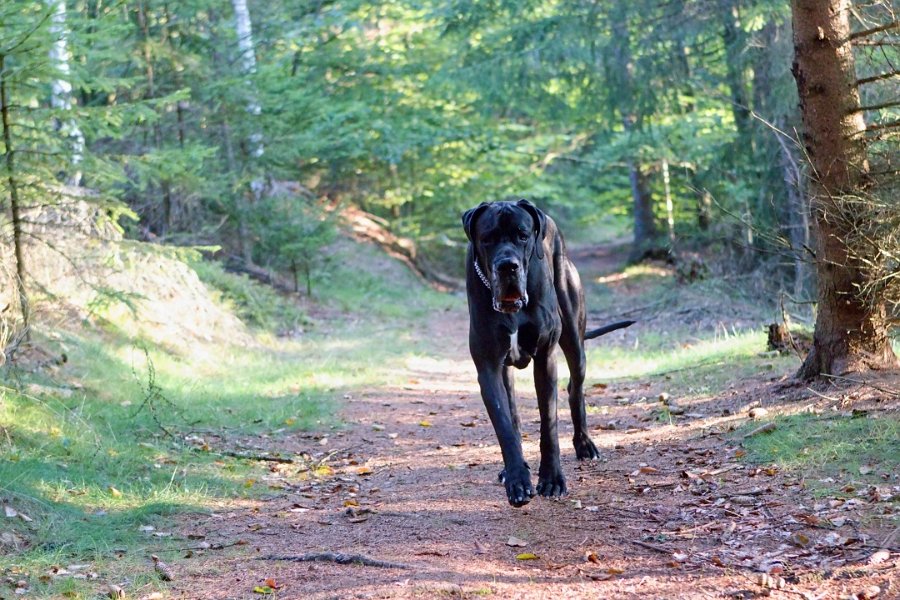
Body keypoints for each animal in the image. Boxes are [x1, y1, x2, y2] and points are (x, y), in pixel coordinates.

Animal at [464, 200, 632, 506]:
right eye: (487, 238)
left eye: (523, 235)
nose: (508, 266)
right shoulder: (489, 368)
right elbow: (505, 426)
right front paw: (517, 479)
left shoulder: (545, 359)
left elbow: (549, 425)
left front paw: (552, 479)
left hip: (574, 341)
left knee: (575, 388)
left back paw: (584, 444)